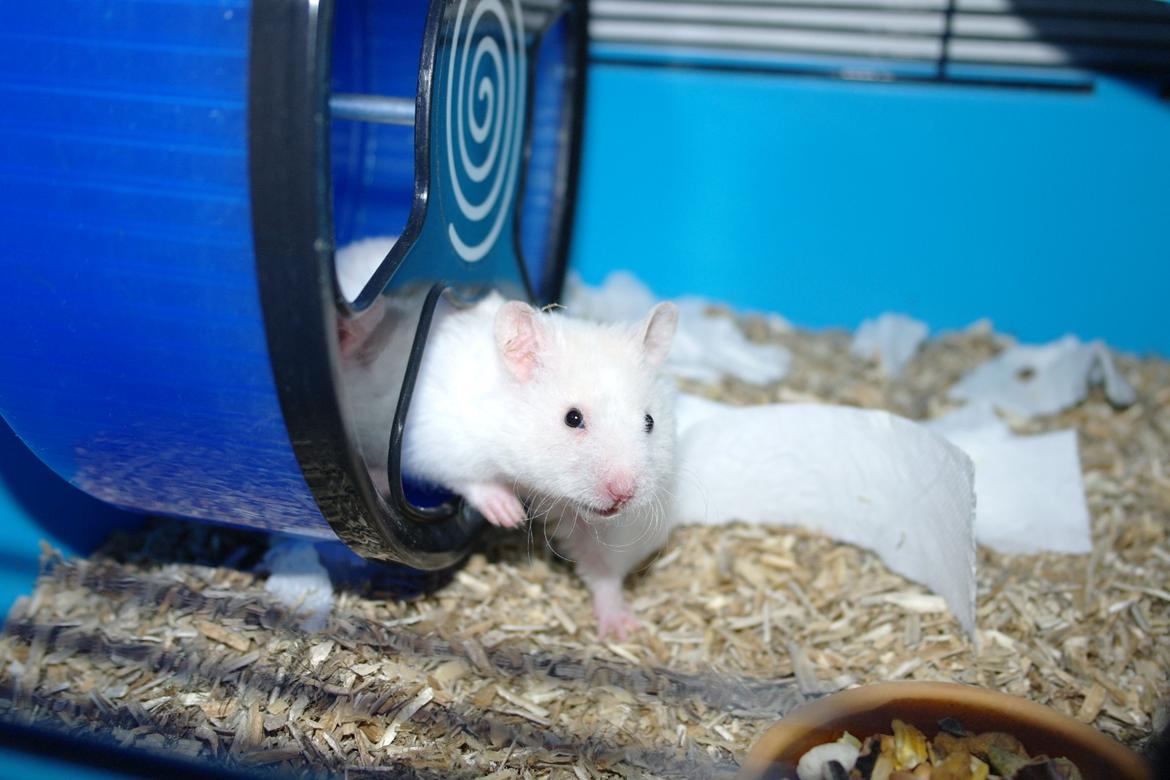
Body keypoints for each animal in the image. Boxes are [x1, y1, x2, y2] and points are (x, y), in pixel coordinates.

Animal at [339, 288, 679, 639]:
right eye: (572, 418)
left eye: (650, 421)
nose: (624, 494)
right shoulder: (436, 444)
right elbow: (469, 480)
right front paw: (510, 515)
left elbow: (601, 569)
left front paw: (621, 629)